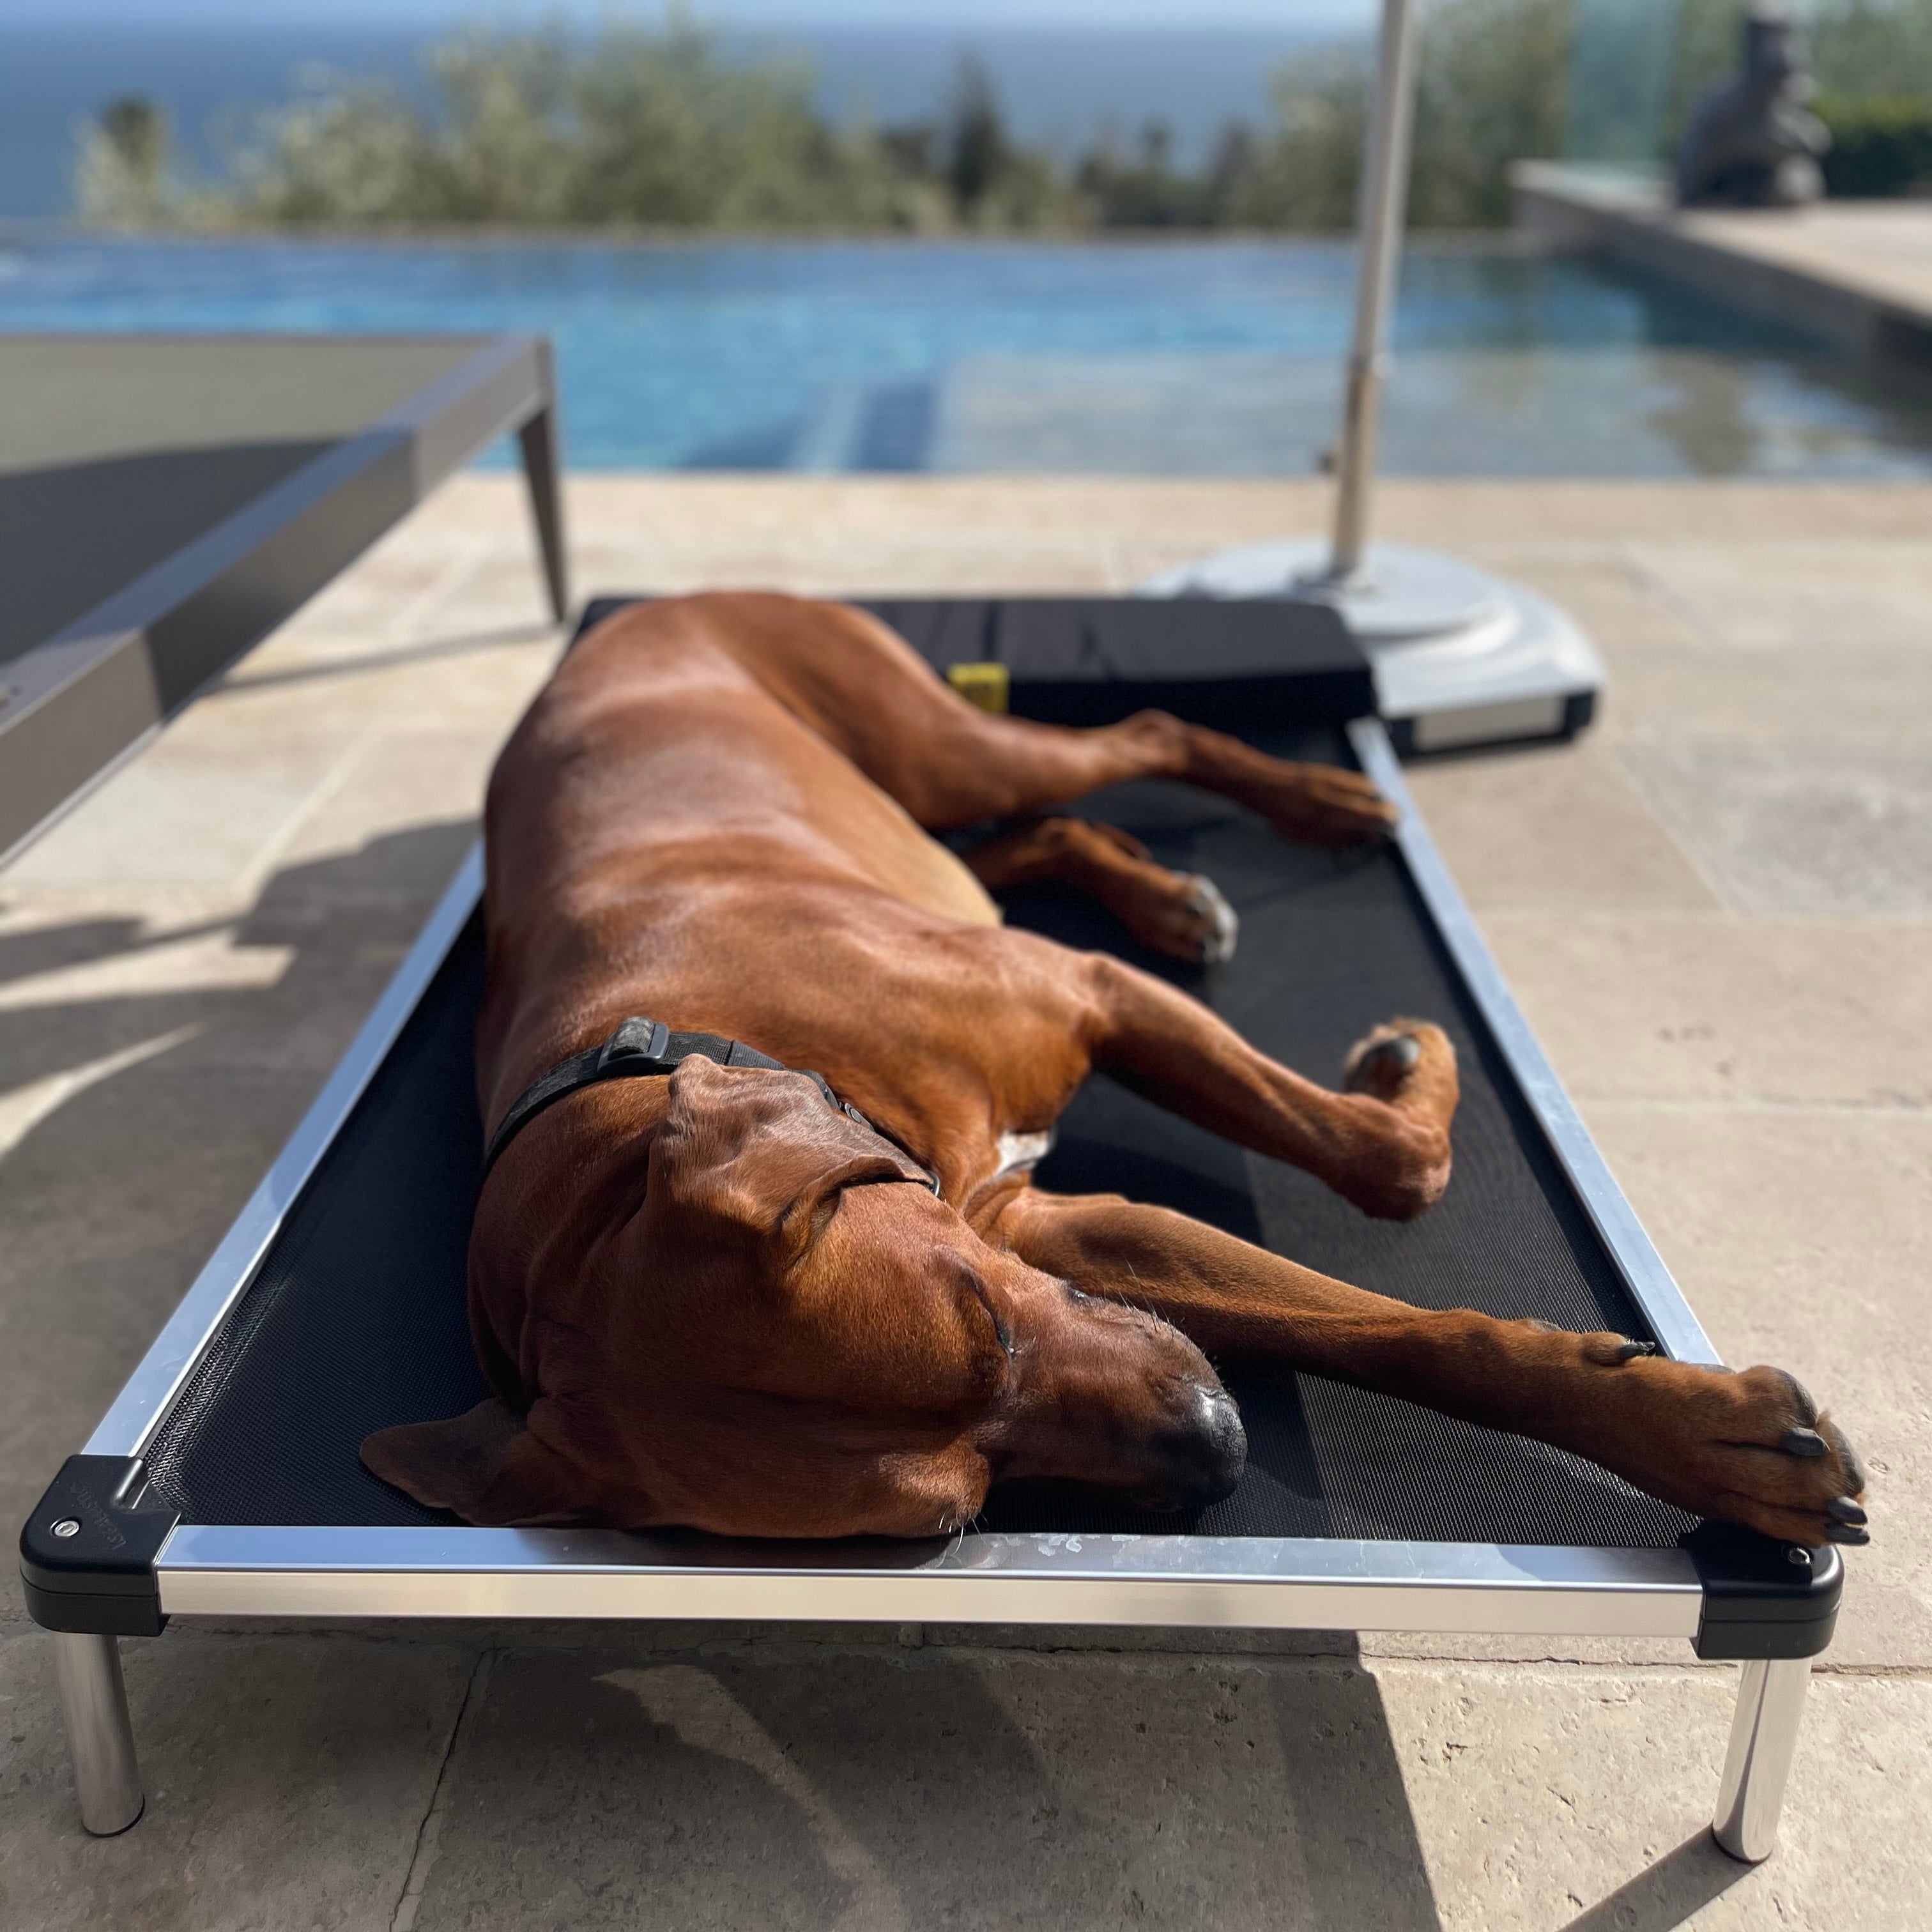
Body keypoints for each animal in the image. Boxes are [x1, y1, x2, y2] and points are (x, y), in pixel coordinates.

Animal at [363, 592, 1867, 1550]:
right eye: (956, 1512)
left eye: (981, 1322)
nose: (1219, 1450)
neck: (669, 1047)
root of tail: (643, 604)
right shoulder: (1061, 1233)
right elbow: (1391, 1323)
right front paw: (1709, 1444)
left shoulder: (1092, 1013)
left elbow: (1382, 1165)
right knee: (1032, 835)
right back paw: (1157, 886)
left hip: (944, 744)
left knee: (1135, 734)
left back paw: (1308, 800)